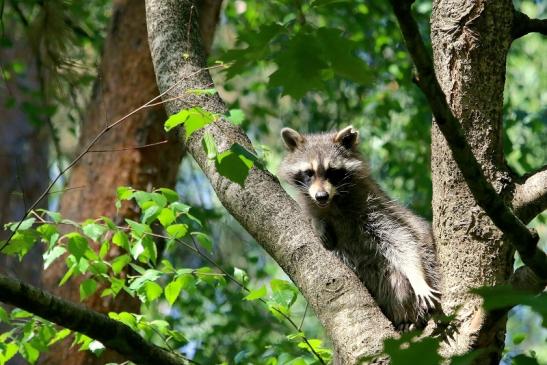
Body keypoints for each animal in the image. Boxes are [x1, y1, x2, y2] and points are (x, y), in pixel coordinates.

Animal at [278, 124, 440, 328]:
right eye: (309, 173)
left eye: (332, 172)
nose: (321, 196)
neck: (333, 201)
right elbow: (311, 216)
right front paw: (317, 223)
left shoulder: (373, 208)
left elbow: (401, 241)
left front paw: (417, 277)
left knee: (399, 283)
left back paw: (410, 317)